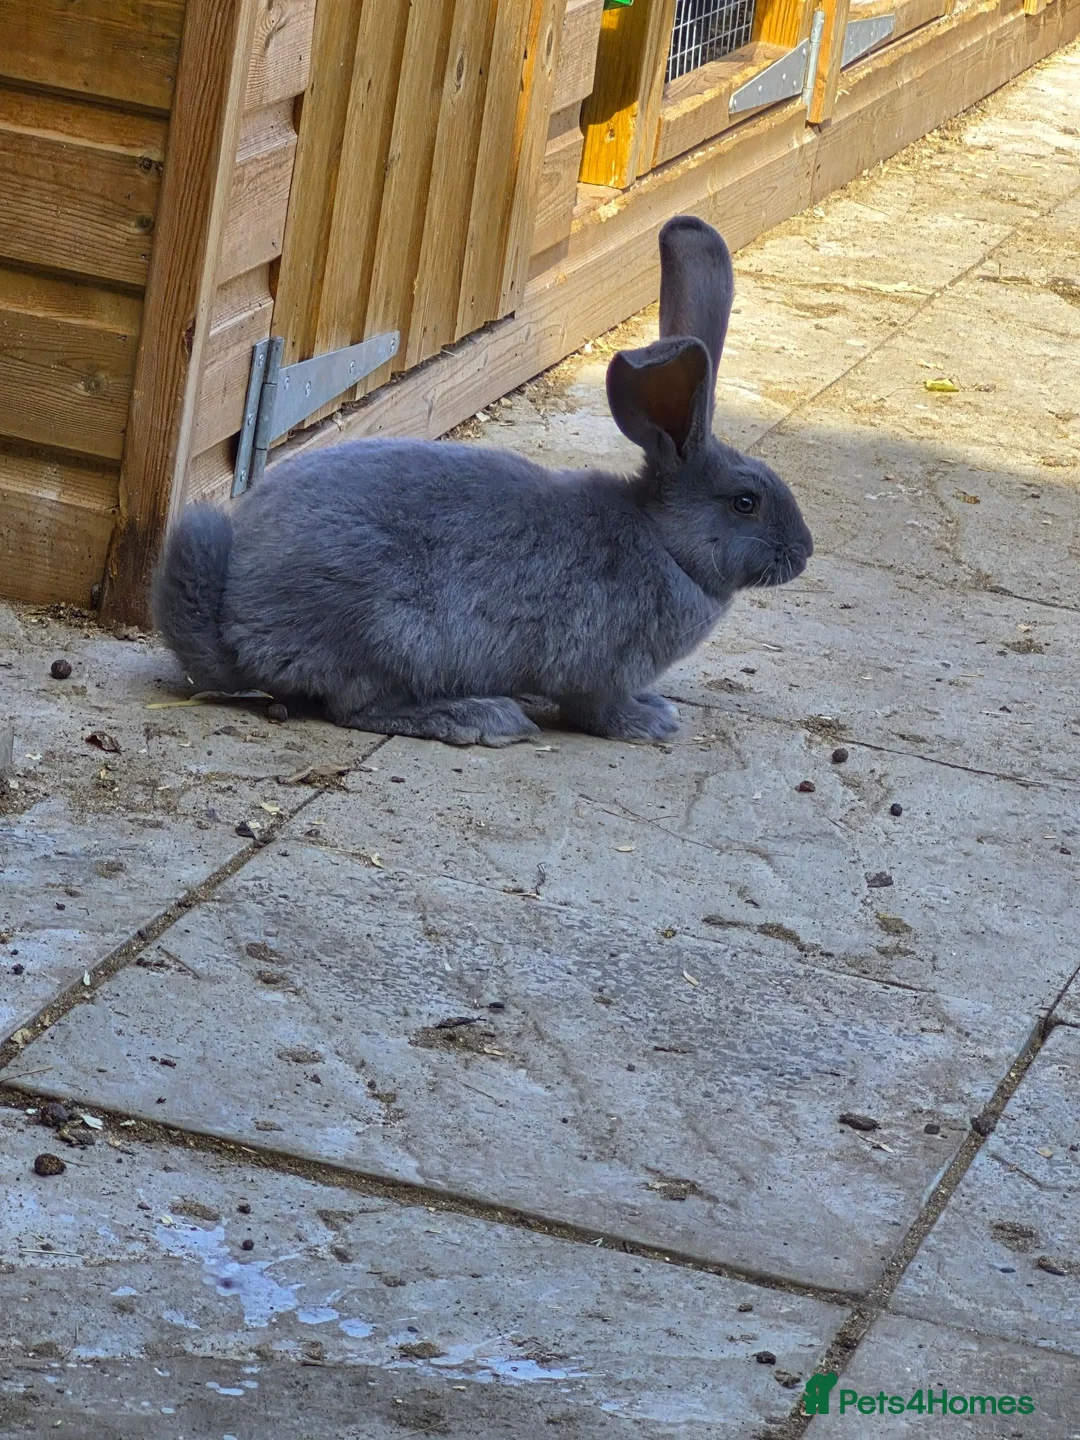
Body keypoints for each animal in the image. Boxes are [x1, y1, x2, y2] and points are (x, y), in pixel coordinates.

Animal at [153, 215, 812, 747]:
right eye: (746, 503)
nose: (804, 553)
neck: (666, 544)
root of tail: (236, 624)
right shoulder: (599, 668)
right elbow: (599, 709)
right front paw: (650, 722)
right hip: (395, 635)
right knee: (358, 708)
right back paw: (482, 717)